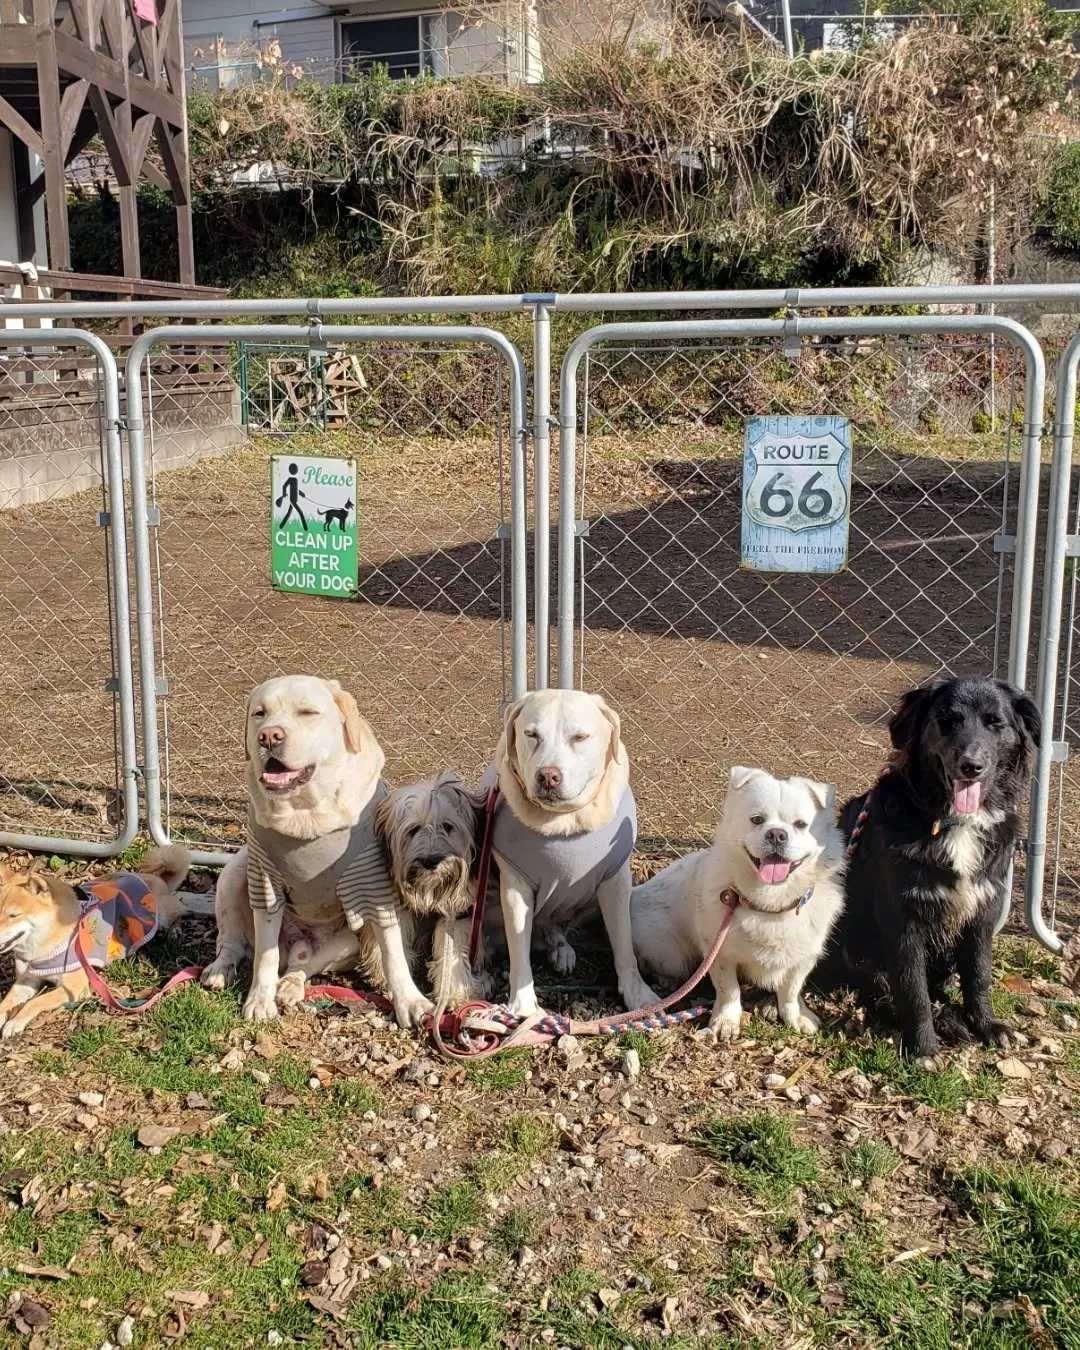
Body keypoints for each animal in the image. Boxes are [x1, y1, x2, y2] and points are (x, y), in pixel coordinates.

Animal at [202, 675, 434, 1020]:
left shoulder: (374, 885)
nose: (268, 735)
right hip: (234, 873)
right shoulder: (266, 884)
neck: (305, 814)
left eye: (308, 713)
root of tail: (297, 945)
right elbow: (265, 958)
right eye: (259, 713)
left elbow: (393, 954)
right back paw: (220, 970)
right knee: (234, 943)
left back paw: (290, 985)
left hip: (351, 939)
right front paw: (259, 1001)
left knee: (304, 965)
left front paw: (411, 1002)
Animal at [483, 691, 653, 1015]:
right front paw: (522, 1002)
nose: (548, 776)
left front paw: (638, 993)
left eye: (579, 737)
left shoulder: (616, 882)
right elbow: (518, 947)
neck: (564, 822)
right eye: (531, 734)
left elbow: (623, 940)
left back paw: (561, 950)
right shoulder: (514, 887)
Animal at [629, 766, 847, 1036]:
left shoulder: (803, 958)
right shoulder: (720, 954)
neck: (769, 906)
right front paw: (726, 1022)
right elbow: (728, 990)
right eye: (757, 820)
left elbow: (790, 991)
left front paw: (796, 1016)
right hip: (672, 954)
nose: (776, 834)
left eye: (800, 825)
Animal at [826, 680, 1036, 1058]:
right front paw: (923, 1049)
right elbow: (912, 988)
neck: (953, 821)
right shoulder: (903, 918)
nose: (970, 765)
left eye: (995, 723)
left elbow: (979, 973)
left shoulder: (982, 910)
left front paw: (986, 1025)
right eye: (946, 721)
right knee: (879, 987)